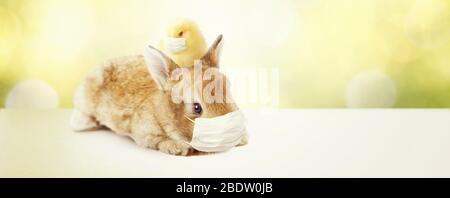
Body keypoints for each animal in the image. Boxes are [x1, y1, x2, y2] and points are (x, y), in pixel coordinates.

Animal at [70, 36, 248, 156]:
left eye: (229, 92)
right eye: (197, 108)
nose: (232, 131)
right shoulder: (144, 134)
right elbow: (158, 141)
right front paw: (177, 148)